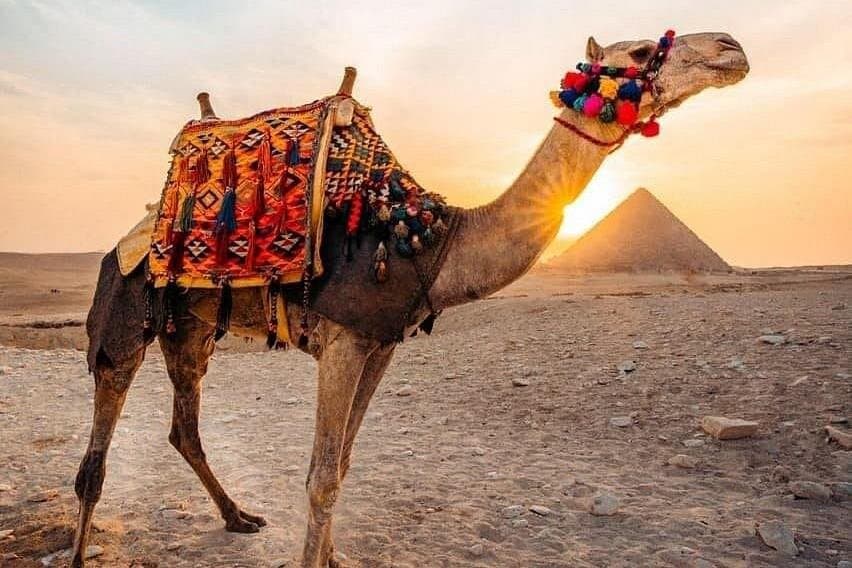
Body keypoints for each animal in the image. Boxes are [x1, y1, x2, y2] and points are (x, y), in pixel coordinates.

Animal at [72, 31, 749, 567]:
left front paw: (332, 557)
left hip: (187, 326)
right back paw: (83, 546)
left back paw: (240, 517)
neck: (432, 239)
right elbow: (321, 477)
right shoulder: (343, 338)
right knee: (98, 446)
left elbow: (343, 464)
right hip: (124, 305)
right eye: (638, 50)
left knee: (184, 426)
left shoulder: (380, 343)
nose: (730, 48)